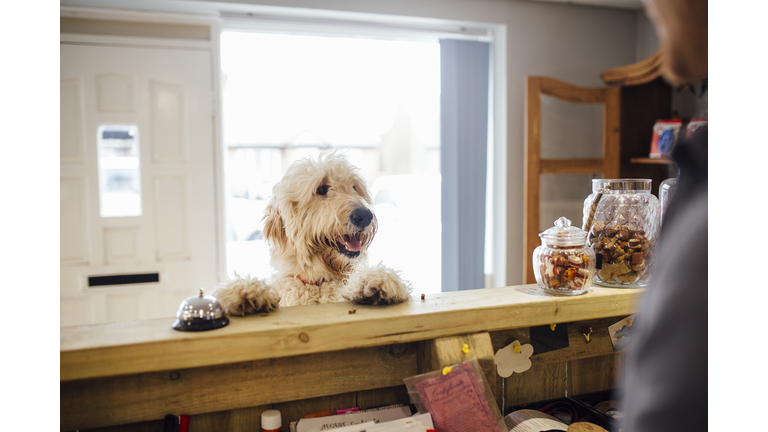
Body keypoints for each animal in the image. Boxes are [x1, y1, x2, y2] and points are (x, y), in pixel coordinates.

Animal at [210, 152, 414, 314]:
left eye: (354, 187)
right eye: (321, 189)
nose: (364, 216)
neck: (319, 282)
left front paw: (376, 279)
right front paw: (246, 291)